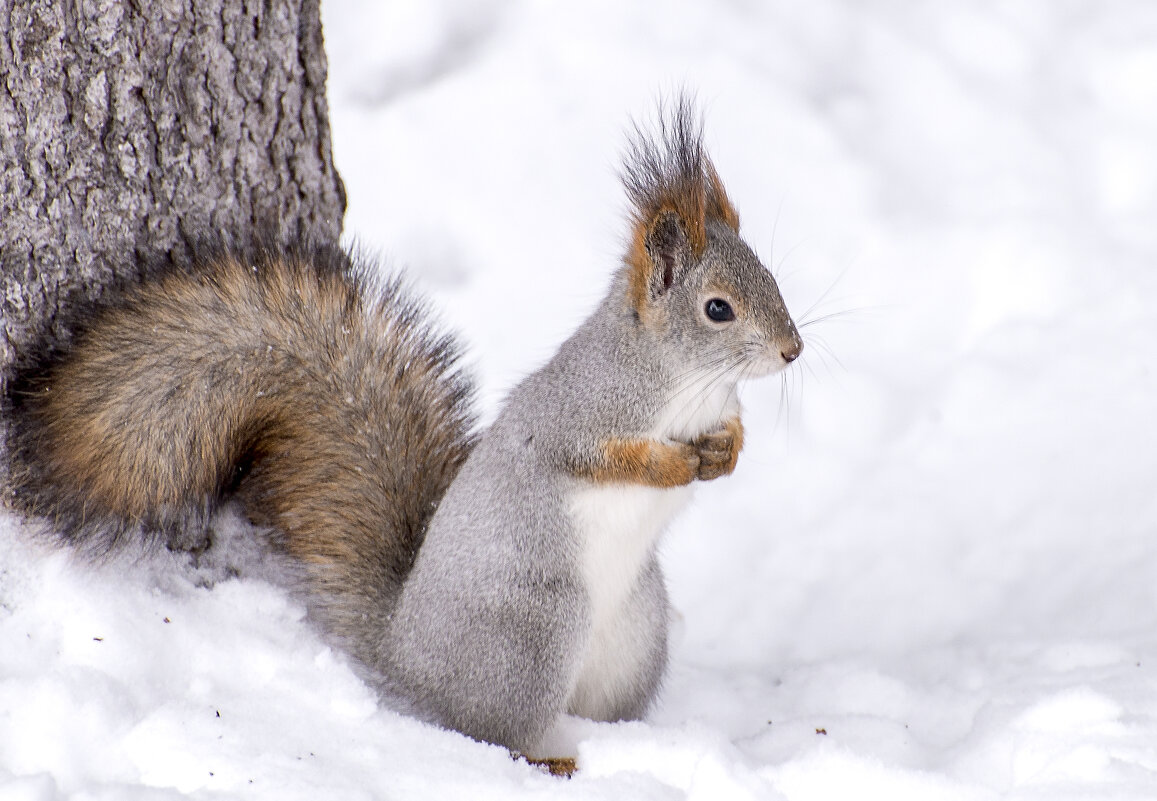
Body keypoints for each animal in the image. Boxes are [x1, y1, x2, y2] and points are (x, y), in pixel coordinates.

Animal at [2, 95, 796, 759]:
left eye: (771, 277)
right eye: (718, 308)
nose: (793, 349)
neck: (685, 386)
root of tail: (403, 652)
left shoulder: (717, 408)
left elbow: (735, 435)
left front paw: (723, 455)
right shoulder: (576, 413)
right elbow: (598, 458)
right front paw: (672, 465)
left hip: (637, 636)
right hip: (536, 631)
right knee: (489, 731)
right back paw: (549, 758)